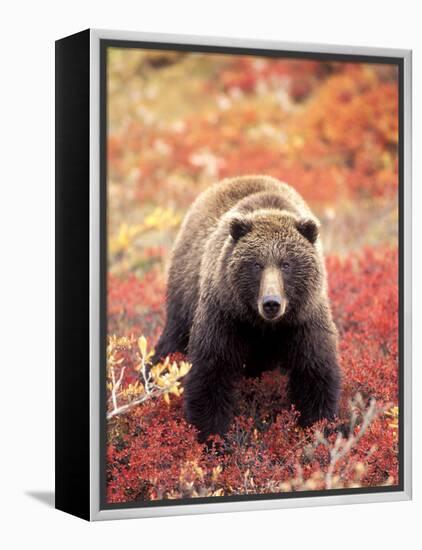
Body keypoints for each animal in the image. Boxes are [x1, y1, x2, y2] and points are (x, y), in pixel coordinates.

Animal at [153, 177, 342, 444]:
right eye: (256, 264)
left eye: (286, 264)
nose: (271, 302)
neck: (263, 325)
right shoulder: (225, 315)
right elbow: (210, 373)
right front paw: (213, 437)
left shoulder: (303, 320)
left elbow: (315, 373)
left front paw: (318, 429)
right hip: (185, 292)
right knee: (172, 341)